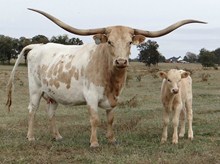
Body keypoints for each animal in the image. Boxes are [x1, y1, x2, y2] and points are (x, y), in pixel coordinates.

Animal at [6, 8, 206, 147]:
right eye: (109, 41)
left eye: (130, 42)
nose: (121, 61)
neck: (111, 78)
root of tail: (37, 46)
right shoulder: (91, 96)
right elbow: (95, 119)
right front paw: (94, 142)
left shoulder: (114, 98)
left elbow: (110, 119)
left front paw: (112, 139)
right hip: (35, 90)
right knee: (32, 111)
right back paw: (30, 136)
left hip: (52, 94)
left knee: (50, 112)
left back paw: (57, 136)